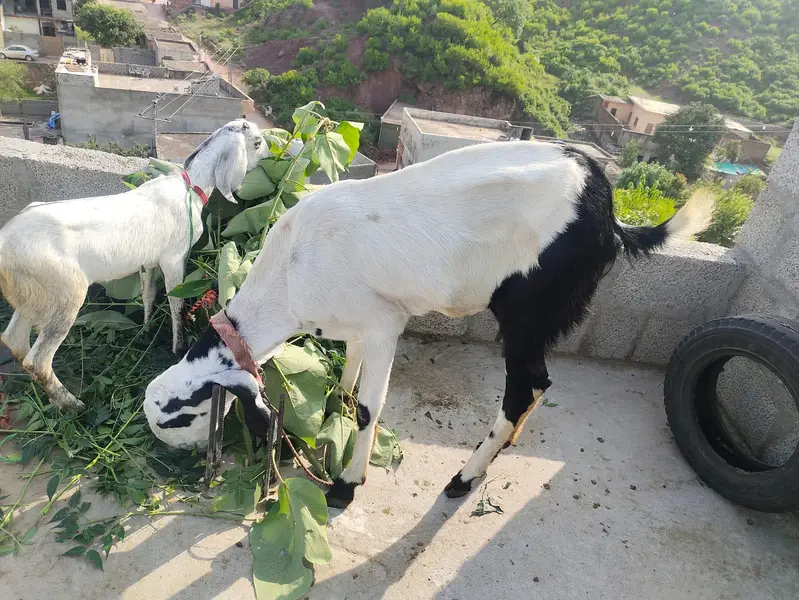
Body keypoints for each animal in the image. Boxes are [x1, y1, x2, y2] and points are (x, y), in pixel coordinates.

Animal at [0, 119, 264, 411]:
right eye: (257, 142)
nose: (268, 157)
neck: (191, 187)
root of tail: (4, 245)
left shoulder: (149, 261)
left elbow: (149, 293)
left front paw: (146, 330)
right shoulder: (174, 258)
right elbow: (176, 303)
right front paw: (178, 348)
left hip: (32, 296)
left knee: (14, 340)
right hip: (64, 295)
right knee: (38, 360)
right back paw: (71, 404)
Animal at [143, 141, 714, 508]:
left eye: (178, 416)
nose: (175, 464)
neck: (291, 270)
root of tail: (607, 211)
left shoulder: (385, 322)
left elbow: (371, 408)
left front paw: (347, 485)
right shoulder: (358, 320)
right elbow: (350, 373)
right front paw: (336, 404)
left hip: (528, 312)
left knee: (527, 385)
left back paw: (465, 477)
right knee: (536, 388)